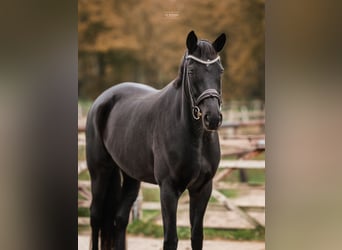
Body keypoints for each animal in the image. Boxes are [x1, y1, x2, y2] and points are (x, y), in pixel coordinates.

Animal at [86, 31, 227, 250]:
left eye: (219, 71)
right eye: (192, 71)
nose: (212, 118)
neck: (195, 137)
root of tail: (101, 101)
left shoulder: (202, 188)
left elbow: (197, 236)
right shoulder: (168, 189)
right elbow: (171, 239)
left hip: (131, 176)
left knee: (120, 219)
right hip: (100, 172)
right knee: (96, 217)